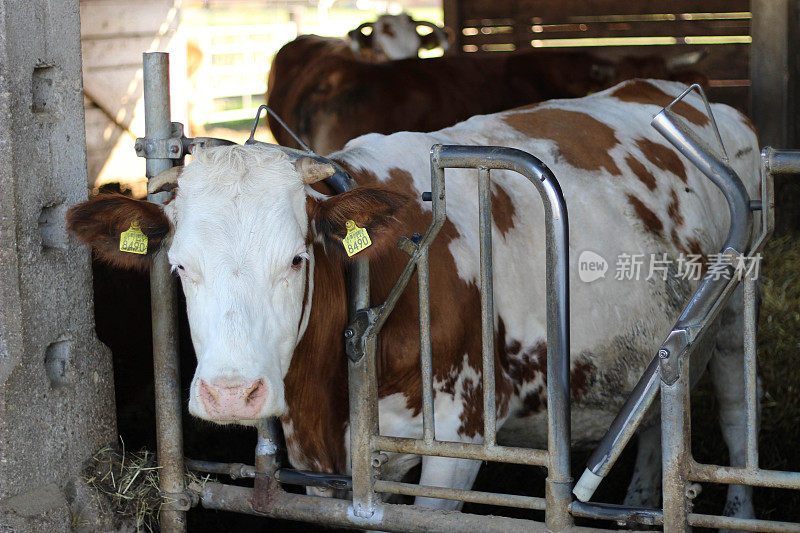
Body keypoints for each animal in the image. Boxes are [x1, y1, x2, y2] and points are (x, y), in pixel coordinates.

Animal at [67, 79, 756, 520]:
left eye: (296, 258)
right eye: (180, 266)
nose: (232, 395)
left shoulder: (458, 438)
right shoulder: (321, 464)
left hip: (729, 319)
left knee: (735, 419)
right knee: (657, 422)